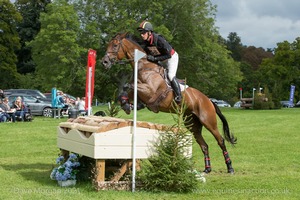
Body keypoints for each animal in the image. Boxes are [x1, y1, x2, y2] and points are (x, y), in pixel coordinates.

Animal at [102, 32, 237, 173]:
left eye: (115, 45)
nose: (104, 62)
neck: (144, 67)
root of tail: (208, 100)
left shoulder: (150, 91)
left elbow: (128, 86)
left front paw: (132, 105)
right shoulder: (138, 90)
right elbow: (125, 92)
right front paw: (127, 105)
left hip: (208, 121)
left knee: (220, 140)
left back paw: (230, 167)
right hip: (192, 124)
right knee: (204, 145)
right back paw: (207, 169)